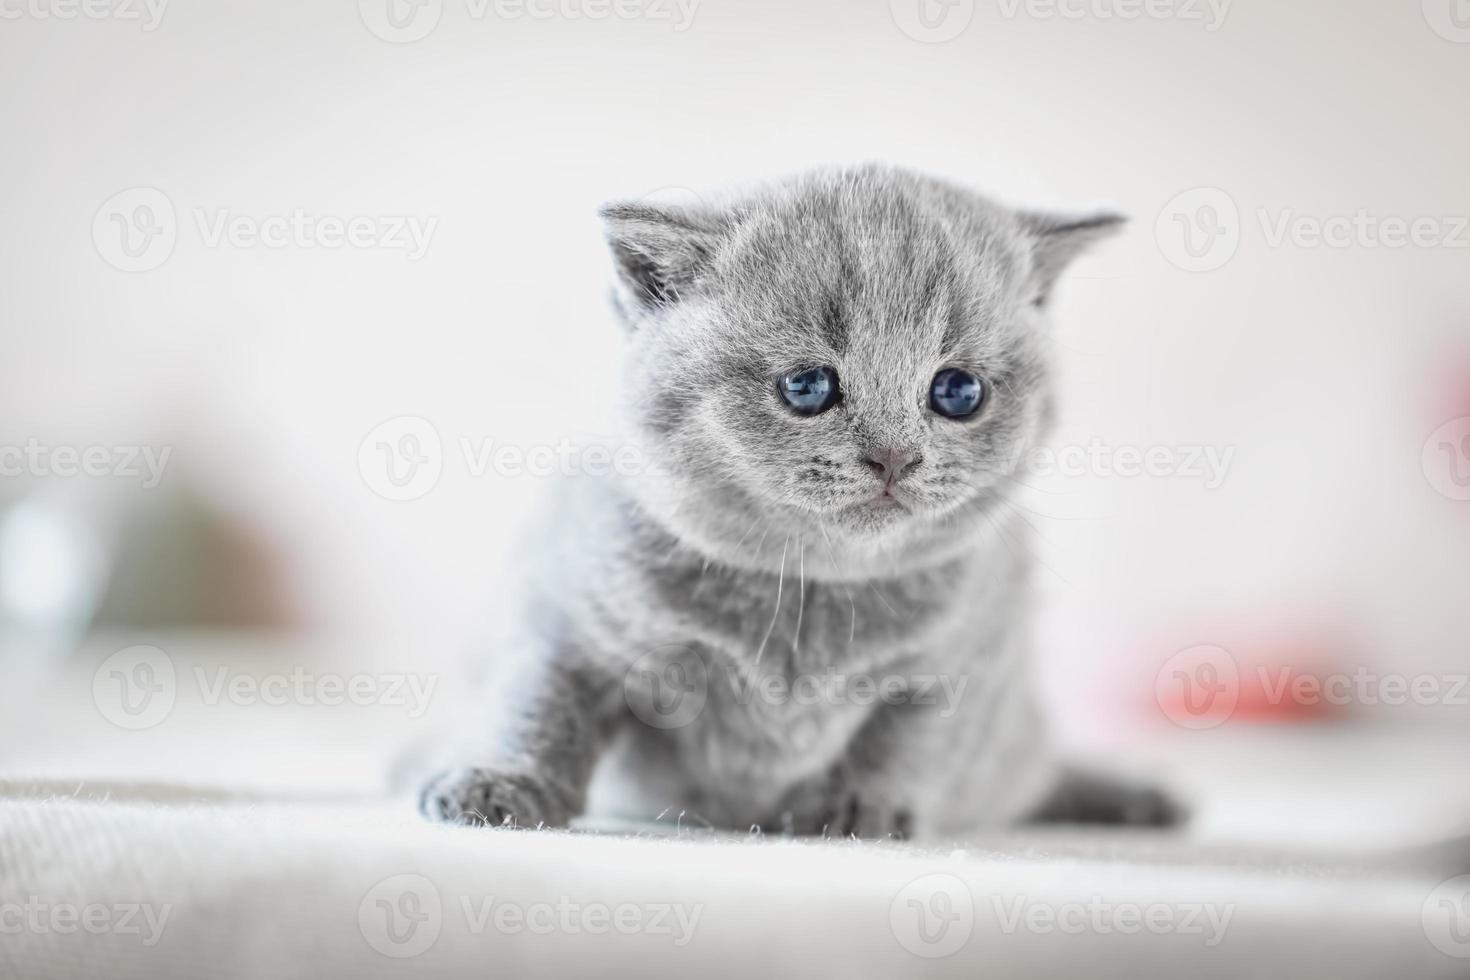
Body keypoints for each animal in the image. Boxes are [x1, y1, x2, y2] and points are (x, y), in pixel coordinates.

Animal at [414, 164, 1181, 840]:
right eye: (807, 387)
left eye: (958, 391)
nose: (894, 456)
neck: (810, 594)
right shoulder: (566, 612)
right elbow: (540, 701)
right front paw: (499, 783)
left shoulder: (967, 655)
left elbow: (907, 739)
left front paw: (863, 808)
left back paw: (1135, 799)